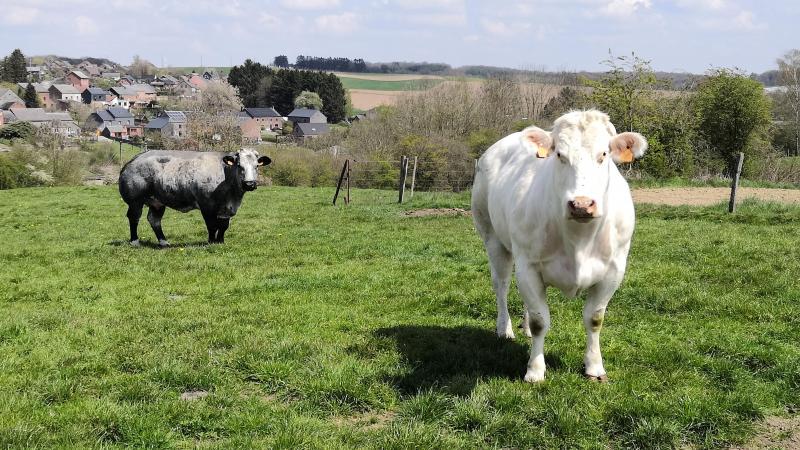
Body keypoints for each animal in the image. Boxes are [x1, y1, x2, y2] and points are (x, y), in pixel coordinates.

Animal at [119, 148, 271, 247]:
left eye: (257, 166)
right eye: (239, 165)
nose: (249, 184)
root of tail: (134, 159)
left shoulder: (227, 208)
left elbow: (223, 226)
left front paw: (220, 242)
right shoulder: (207, 205)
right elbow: (212, 225)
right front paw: (211, 242)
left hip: (157, 202)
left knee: (154, 220)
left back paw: (164, 242)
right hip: (135, 201)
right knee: (134, 218)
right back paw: (135, 242)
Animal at [471, 110, 647, 383]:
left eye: (604, 154)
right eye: (560, 155)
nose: (582, 204)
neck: (579, 239)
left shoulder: (614, 270)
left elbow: (594, 319)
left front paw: (594, 367)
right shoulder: (529, 266)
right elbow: (540, 321)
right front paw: (535, 370)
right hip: (493, 239)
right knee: (501, 286)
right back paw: (505, 329)